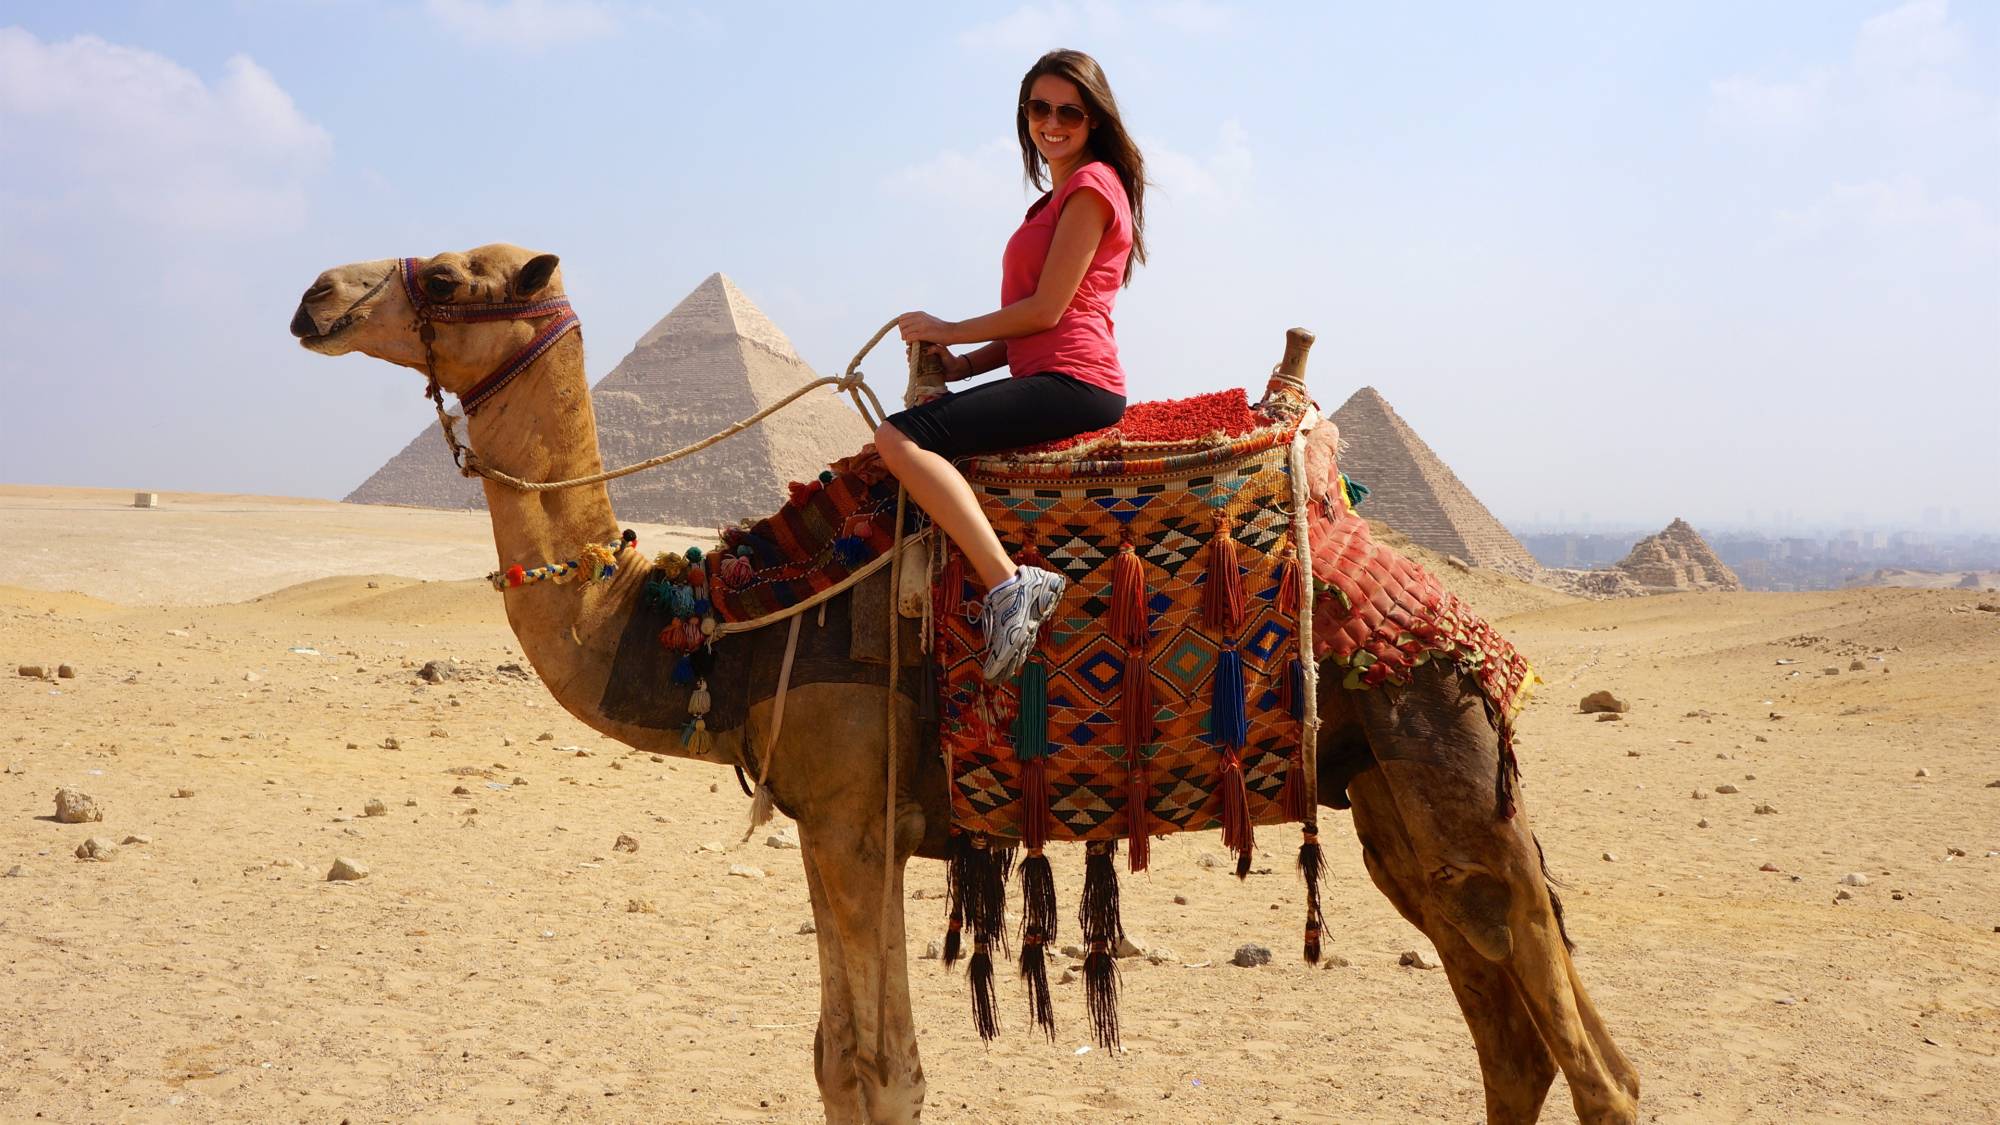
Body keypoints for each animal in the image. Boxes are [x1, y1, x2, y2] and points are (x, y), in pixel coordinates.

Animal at [296, 241, 1640, 1112]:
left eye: (453, 277)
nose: (316, 295)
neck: (722, 620)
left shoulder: (844, 814)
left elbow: (873, 1068)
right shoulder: (860, 826)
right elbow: (845, 1061)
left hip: (1446, 768)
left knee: (1593, 1065)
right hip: (1389, 811)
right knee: (1515, 1039)